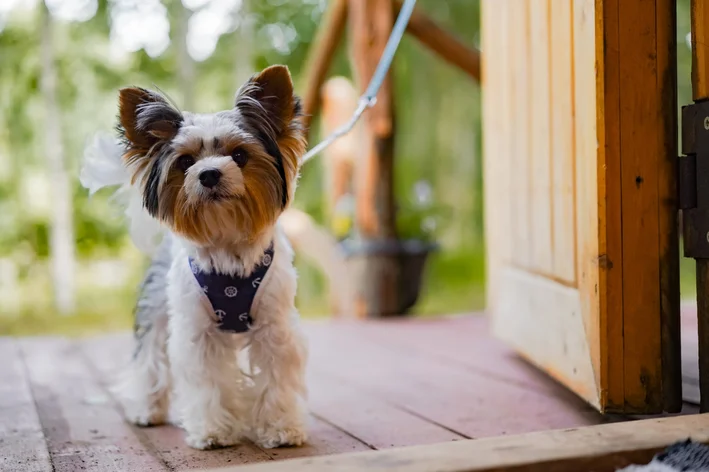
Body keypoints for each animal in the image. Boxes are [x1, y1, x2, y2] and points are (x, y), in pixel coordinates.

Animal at [79, 63, 306, 450]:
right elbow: (207, 381)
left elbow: (276, 377)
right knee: (149, 358)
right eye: (185, 161)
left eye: (240, 155)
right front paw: (214, 431)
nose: (209, 173)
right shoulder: (198, 333)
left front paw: (280, 428)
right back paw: (146, 409)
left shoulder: (274, 328)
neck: (228, 243)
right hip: (158, 309)